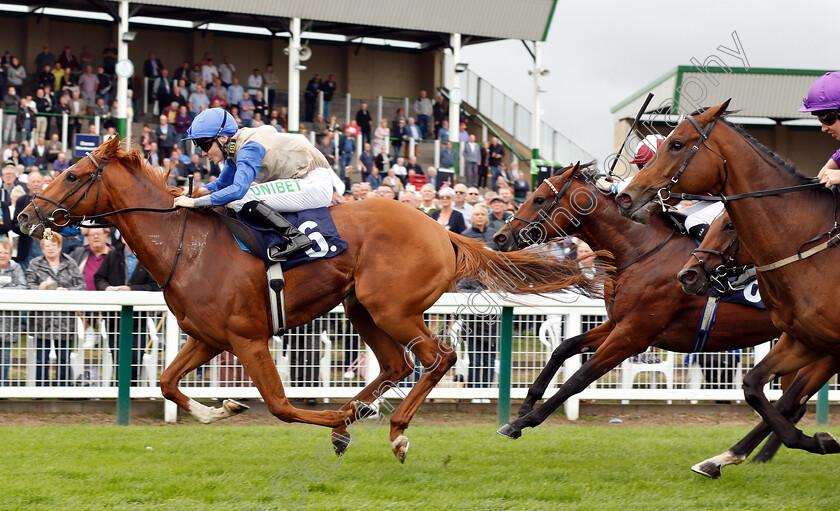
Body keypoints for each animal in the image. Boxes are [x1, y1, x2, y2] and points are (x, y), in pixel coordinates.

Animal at [16, 138, 600, 462]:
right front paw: (218, 409)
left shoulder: (248, 338)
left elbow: (279, 405)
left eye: (73, 174)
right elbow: (165, 383)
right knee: (394, 364)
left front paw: (335, 424)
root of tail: (444, 230)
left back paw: (393, 431)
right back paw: (355, 413)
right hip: (360, 307)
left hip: (393, 307)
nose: (23, 216)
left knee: (438, 357)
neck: (188, 244)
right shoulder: (207, 337)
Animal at [492, 163, 780, 444]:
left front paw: (521, 423)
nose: (500, 237)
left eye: (539, 199)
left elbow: (579, 378)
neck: (642, 252)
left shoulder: (634, 335)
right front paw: (525, 405)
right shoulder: (618, 324)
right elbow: (564, 347)